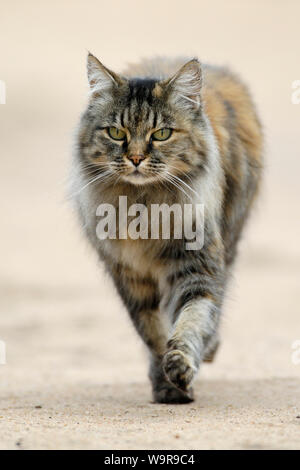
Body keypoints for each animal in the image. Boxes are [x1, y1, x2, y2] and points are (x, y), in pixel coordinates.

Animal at [72, 52, 262, 404]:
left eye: (161, 134)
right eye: (116, 132)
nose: (135, 158)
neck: (143, 204)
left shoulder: (197, 267)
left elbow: (191, 318)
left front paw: (182, 365)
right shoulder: (130, 278)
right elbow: (153, 332)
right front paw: (167, 384)